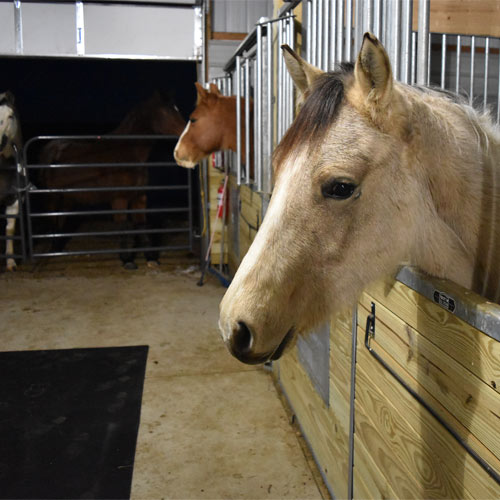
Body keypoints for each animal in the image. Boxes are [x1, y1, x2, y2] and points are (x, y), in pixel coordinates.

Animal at [39, 91, 186, 268]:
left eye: (177, 109)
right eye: (164, 112)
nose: (185, 134)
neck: (128, 153)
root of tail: (50, 148)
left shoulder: (139, 197)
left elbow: (141, 225)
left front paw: (150, 258)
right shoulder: (119, 199)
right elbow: (123, 227)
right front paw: (127, 260)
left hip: (67, 197)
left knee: (60, 218)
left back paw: (57, 249)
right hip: (52, 197)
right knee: (53, 220)